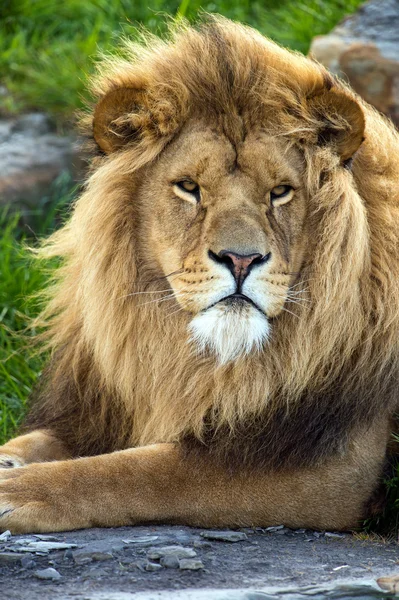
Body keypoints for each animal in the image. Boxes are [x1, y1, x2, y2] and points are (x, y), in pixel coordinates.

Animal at [0, 15, 399, 536]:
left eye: (280, 192)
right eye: (189, 188)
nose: (241, 259)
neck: (191, 360)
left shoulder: (335, 466)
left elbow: (142, 470)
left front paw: (18, 490)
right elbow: (43, 440)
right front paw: (9, 461)